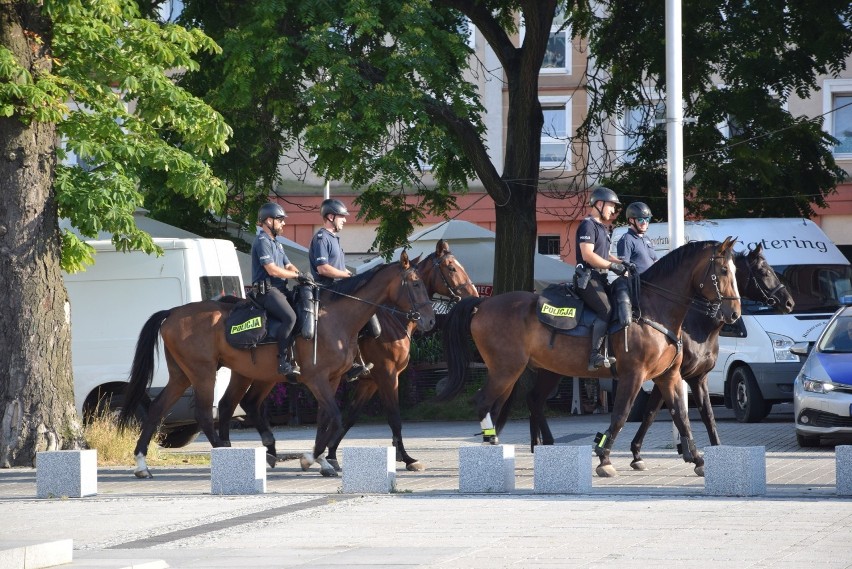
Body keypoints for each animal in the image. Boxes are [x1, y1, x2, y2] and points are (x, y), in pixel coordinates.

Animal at [119, 251, 432, 478]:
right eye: (416, 284)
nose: (429, 320)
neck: (335, 318)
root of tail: (172, 312)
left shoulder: (332, 381)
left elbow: (327, 419)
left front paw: (322, 460)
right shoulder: (323, 379)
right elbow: (340, 417)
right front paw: (313, 458)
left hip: (186, 375)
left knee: (161, 409)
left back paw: (142, 465)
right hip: (203, 373)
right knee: (206, 414)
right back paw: (227, 453)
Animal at [226, 239, 480, 470]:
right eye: (451, 268)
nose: (474, 296)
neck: (393, 319)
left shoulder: (369, 382)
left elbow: (348, 418)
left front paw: (328, 454)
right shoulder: (386, 376)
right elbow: (393, 418)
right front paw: (406, 458)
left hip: (259, 375)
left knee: (241, 403)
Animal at [440, 237, 740, 478]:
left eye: (736, 270)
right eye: (724, 270)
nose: (735, 313)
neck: (654, 309)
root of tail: (483, 303)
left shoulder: (670, 377)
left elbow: (682, 415)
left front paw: (698, 459)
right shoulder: (634, 375)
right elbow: (621, 414)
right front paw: (605, 459)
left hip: (530, 371)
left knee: (521, 402)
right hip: (506, 370)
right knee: (483, 402)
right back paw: (492, 449)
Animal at [524, 242, 796, 468]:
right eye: (763, 271)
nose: (790, 303)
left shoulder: (694, 377)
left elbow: (703, 414)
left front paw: (707, 452)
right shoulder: (661, 376)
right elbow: (654, 413)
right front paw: (641, 453)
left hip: (552, 370)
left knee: (534, 400)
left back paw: (540, 446)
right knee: (535, 401)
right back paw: (543, 446)